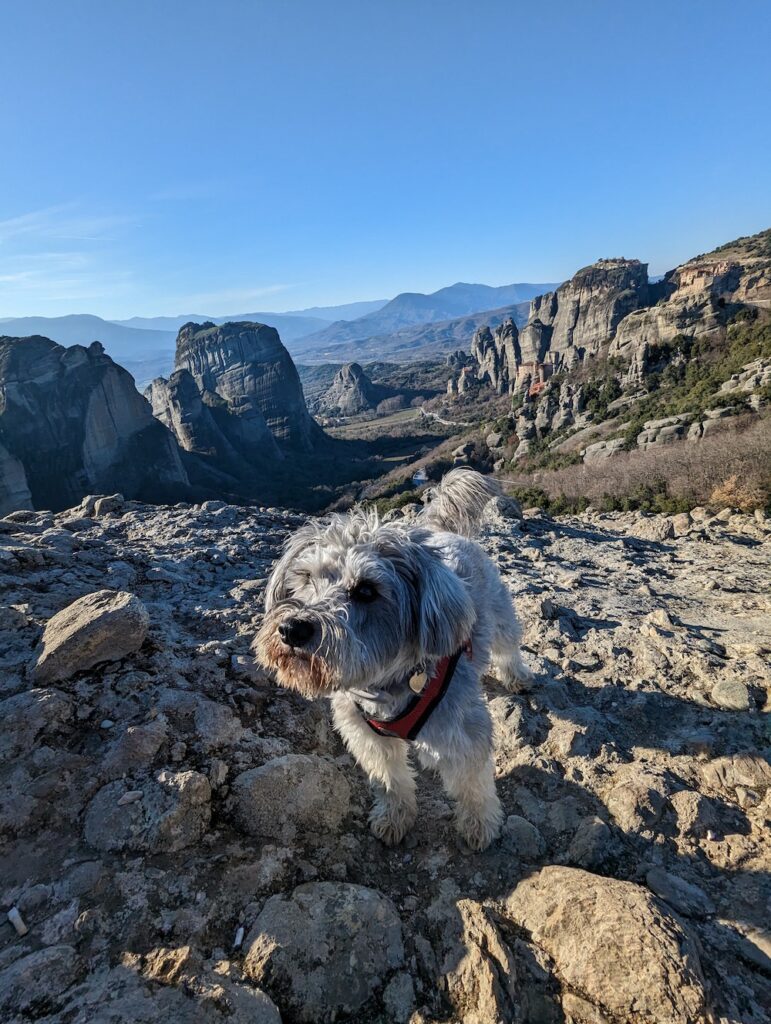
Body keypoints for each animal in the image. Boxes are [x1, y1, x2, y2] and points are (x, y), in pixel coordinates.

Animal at [255, 468, 532, 847]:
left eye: (366, 590)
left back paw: (517, 675)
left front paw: (479, 825)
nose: (292, 629)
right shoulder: (366, 735)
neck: (385, 684)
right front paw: (395, 816)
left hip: (501, 615)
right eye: (307, 577)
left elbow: (472, 786)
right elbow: (391, 780)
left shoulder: (463, 734)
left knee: (508, 647)